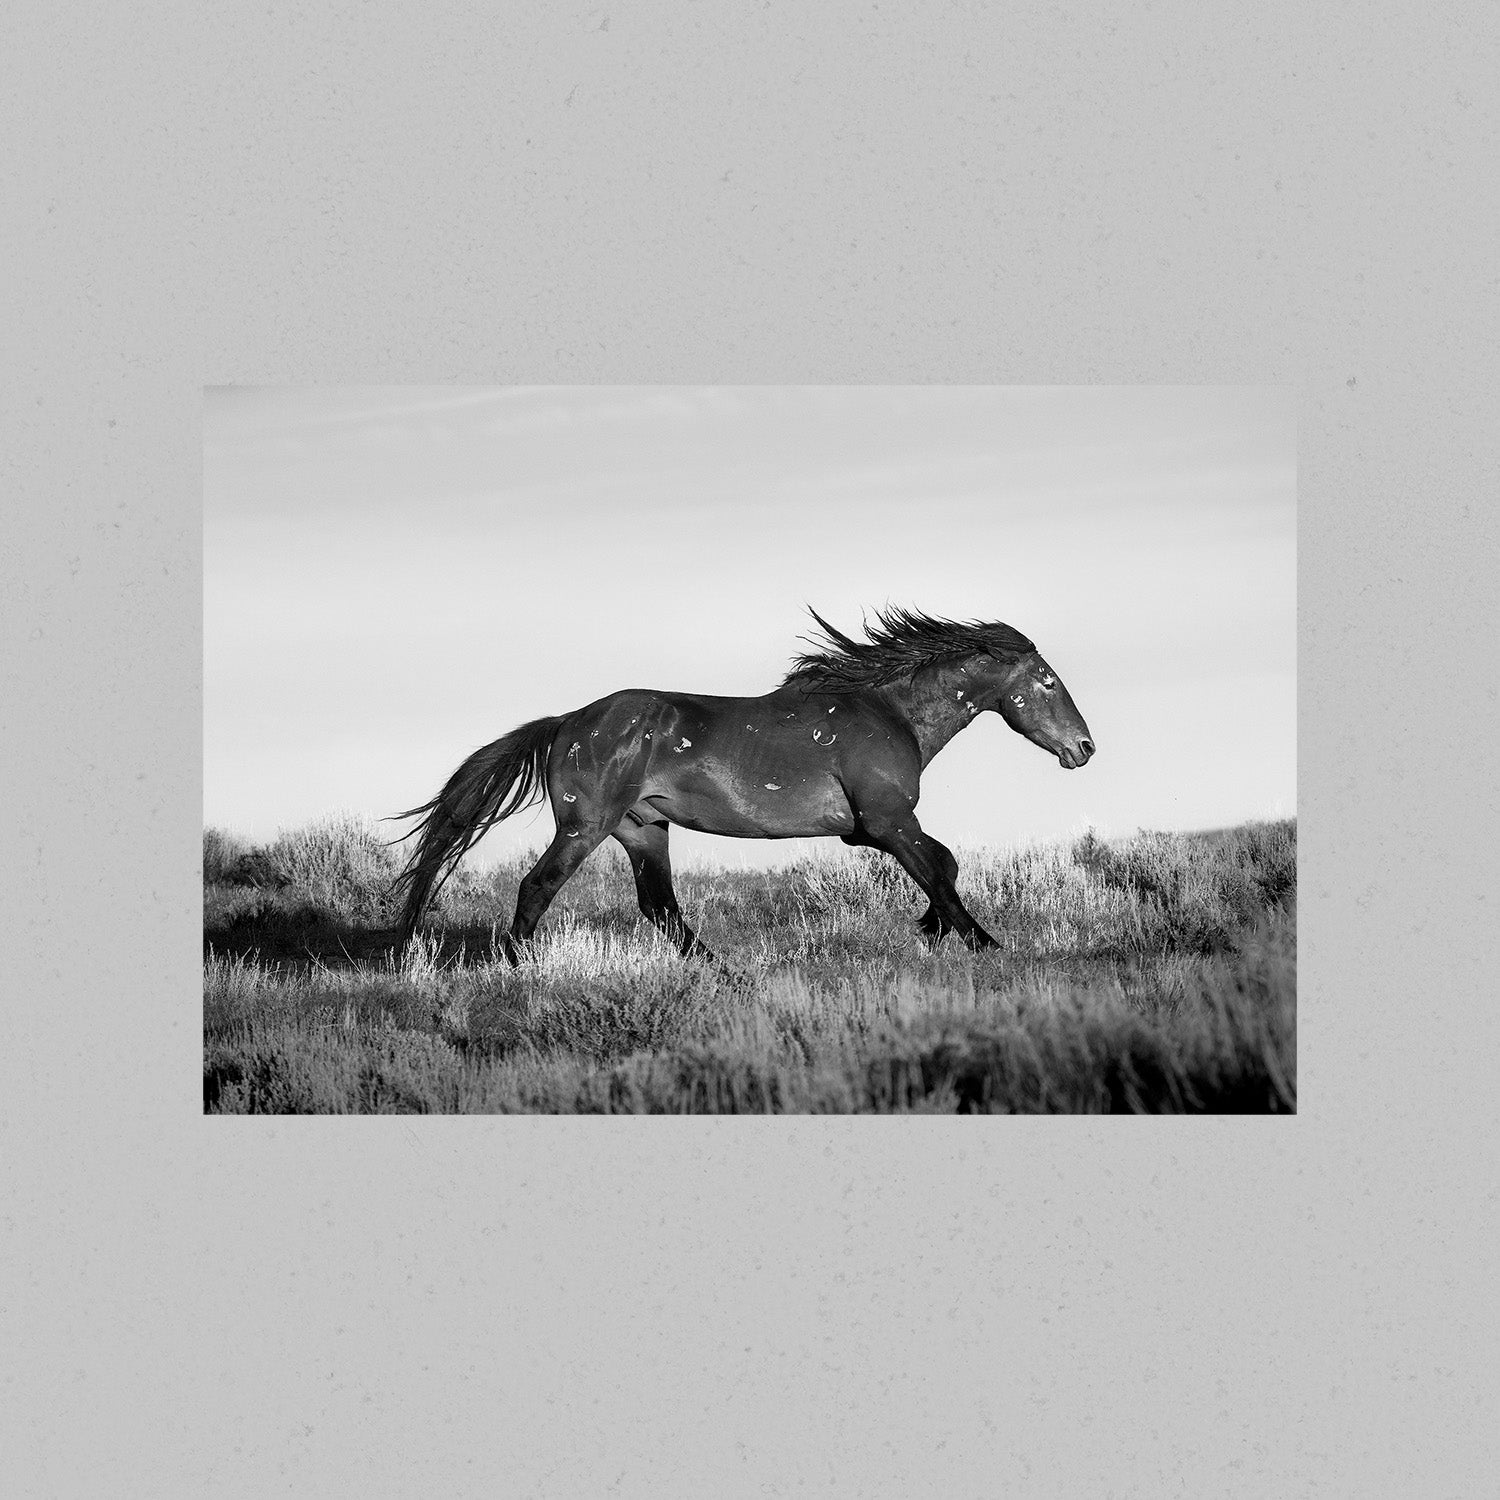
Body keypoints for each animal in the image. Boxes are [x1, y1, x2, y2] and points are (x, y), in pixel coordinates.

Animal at [389, 607, 1095, 961]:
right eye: (1047, 680)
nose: (1084, 748)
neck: (887, 712)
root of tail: (568, 722)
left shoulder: (870, 830)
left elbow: (942, 865)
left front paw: (935, 928)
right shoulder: (886, 821)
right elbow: (941, 867)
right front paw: (978, 939)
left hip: (644, 828)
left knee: (661, 907)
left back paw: (716, 968)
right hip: (586, 826)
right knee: (539, 886)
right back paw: (517, 964)